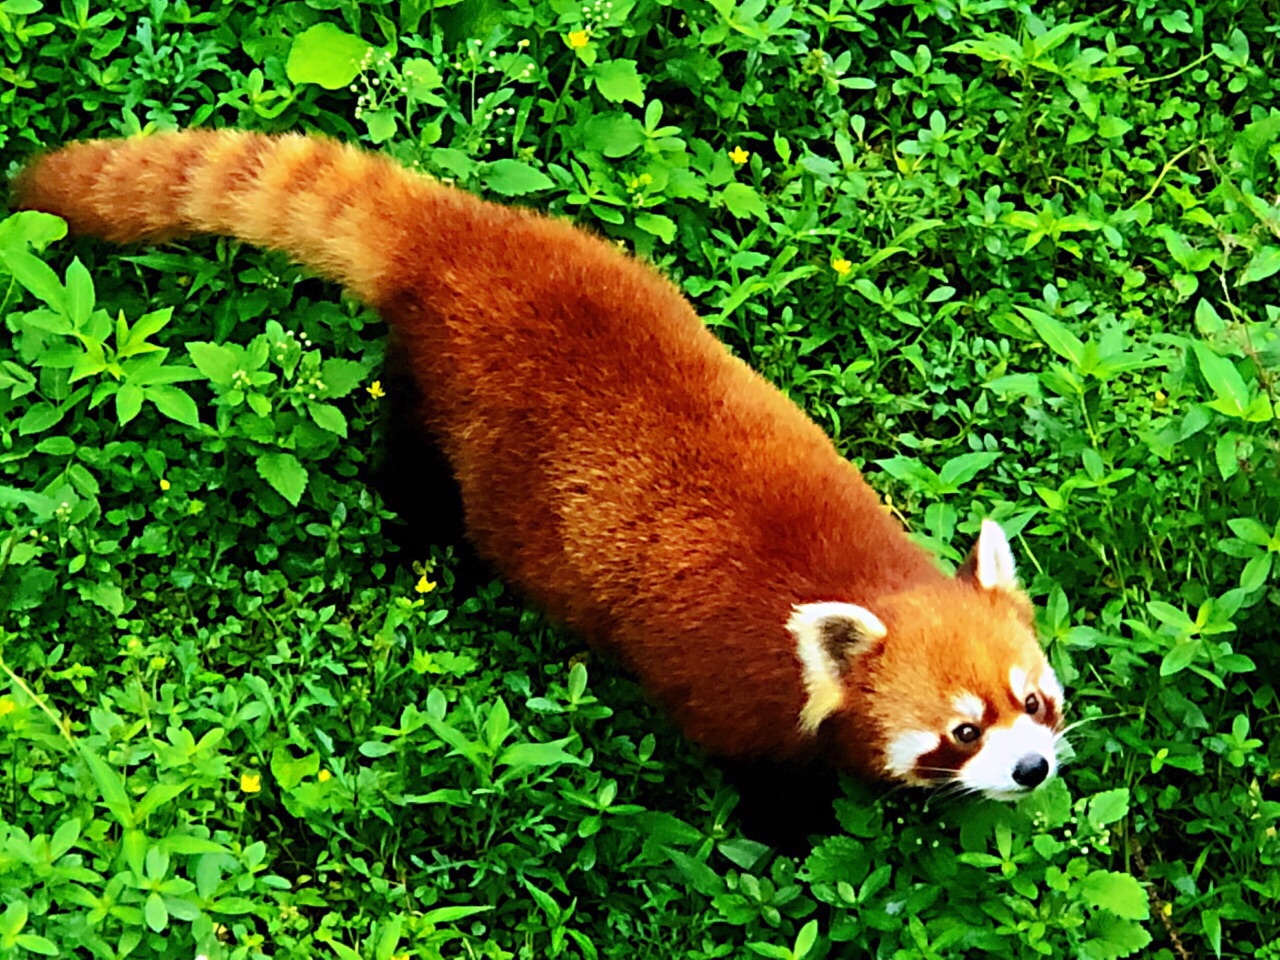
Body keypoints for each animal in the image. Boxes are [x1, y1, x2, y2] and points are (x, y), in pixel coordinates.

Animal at [12, 131, 1059, 798]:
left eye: (1034, 699)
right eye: (962, 730)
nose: (1033, 768)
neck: (861, 579)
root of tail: (461, 237)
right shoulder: (734, 700)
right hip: (444, 401)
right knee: (421, 473)